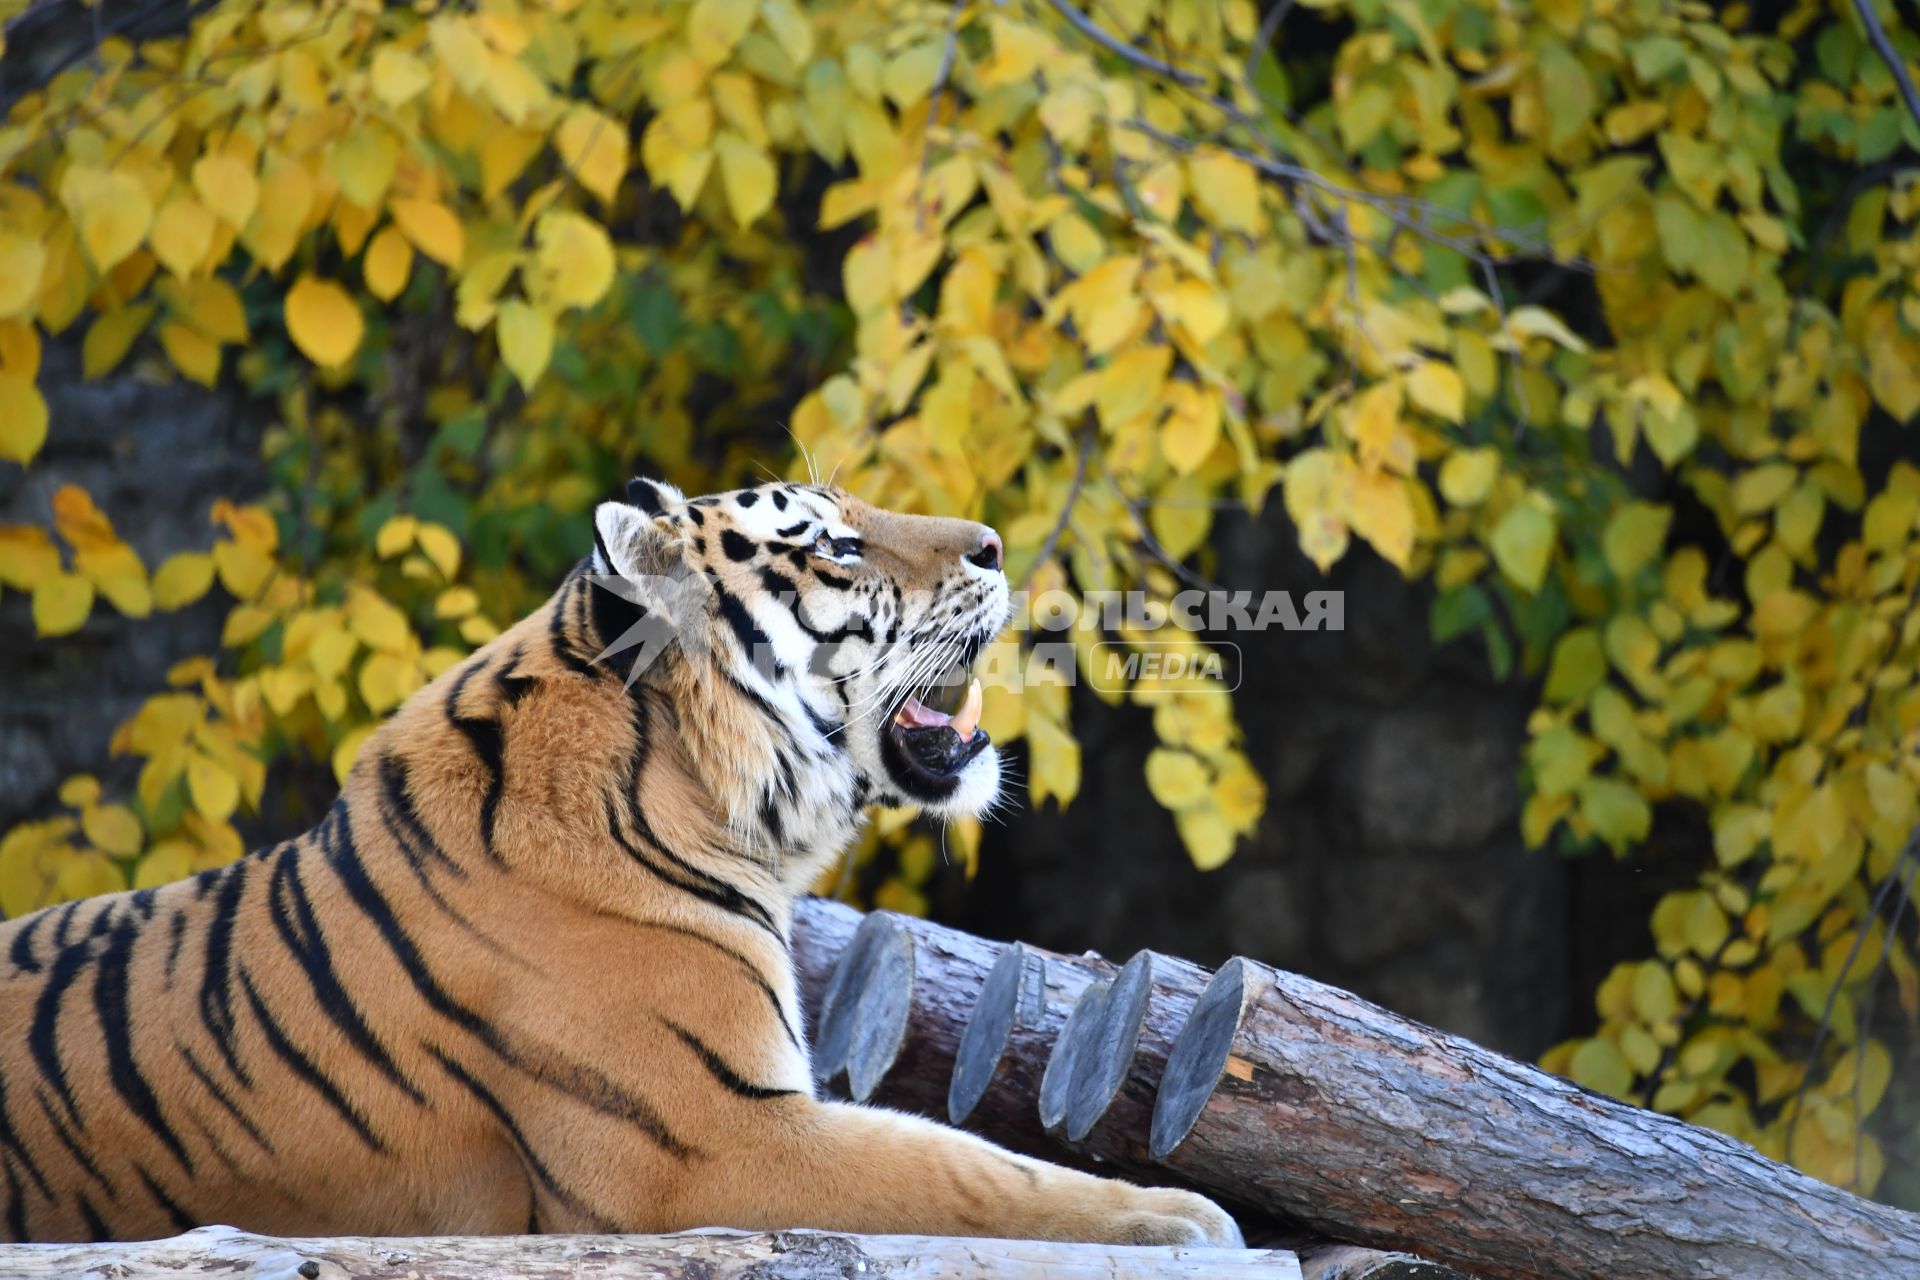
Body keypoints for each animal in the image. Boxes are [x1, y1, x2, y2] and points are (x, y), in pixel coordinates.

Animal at [0, 475, 1244, 1243]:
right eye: (837, 543)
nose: (993, 544)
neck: (695, 786)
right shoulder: (712, 1141)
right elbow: (962, 1166)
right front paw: (1178, 1218)